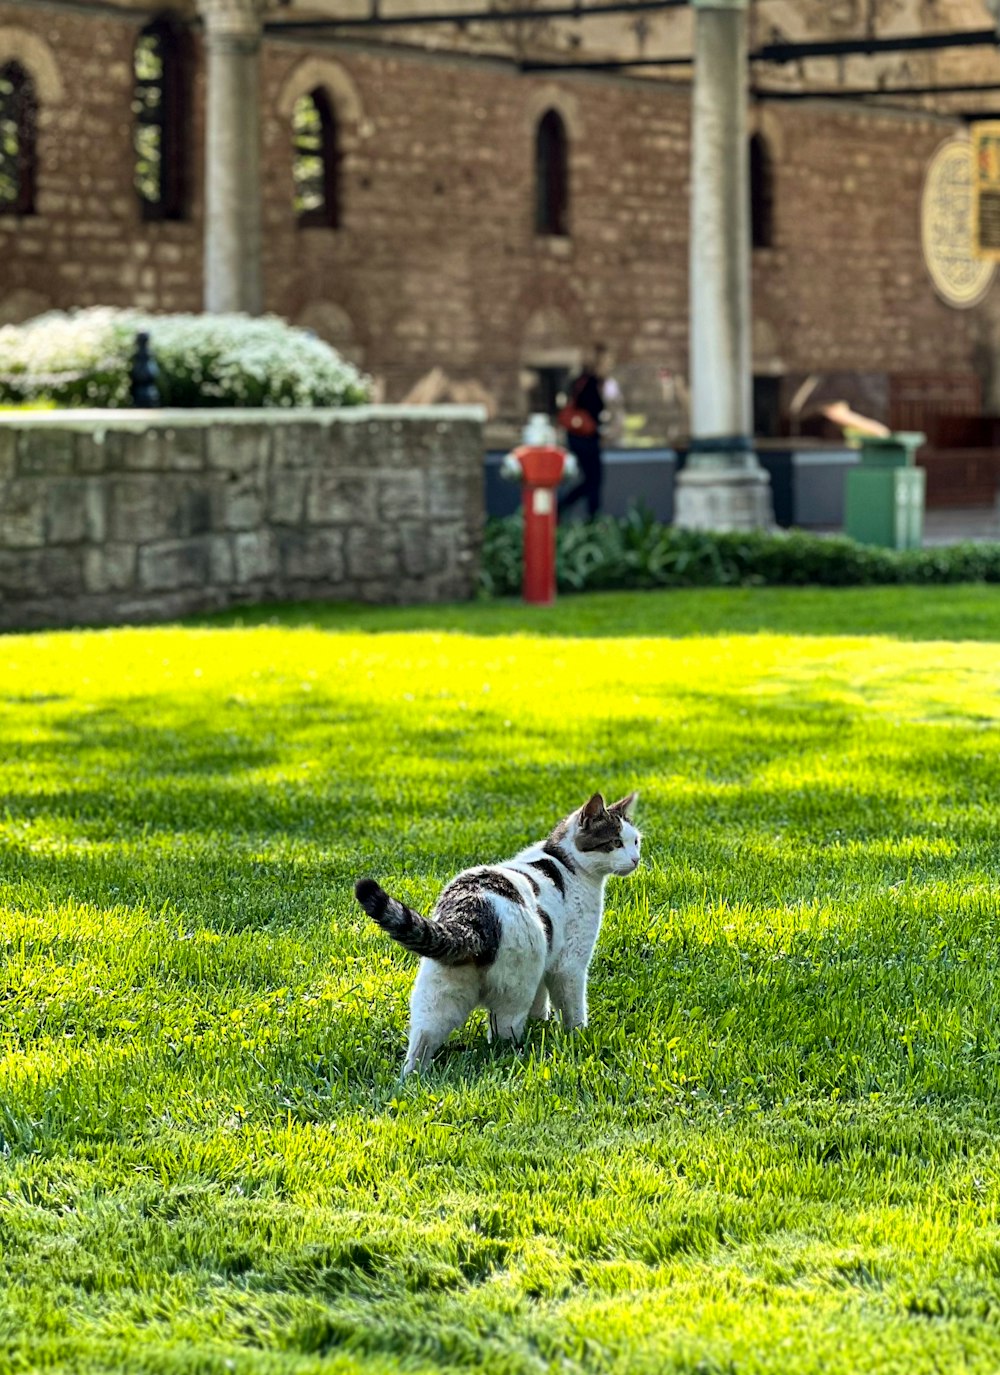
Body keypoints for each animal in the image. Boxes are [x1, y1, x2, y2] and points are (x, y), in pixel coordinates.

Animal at [354, 797, 646, 1072]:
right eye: (616, 842)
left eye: (636, 841)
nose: (636, 859)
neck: (565, 860)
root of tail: (470, 913)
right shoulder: (569, 964)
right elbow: (572, 1008)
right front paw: (578, 1034)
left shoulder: (547, 959)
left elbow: (541, 1000)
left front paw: (542, 1021)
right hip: (513, 993)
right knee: (502, 1037)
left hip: (437, 996)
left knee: (421, 1041)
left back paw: (413, 1077)